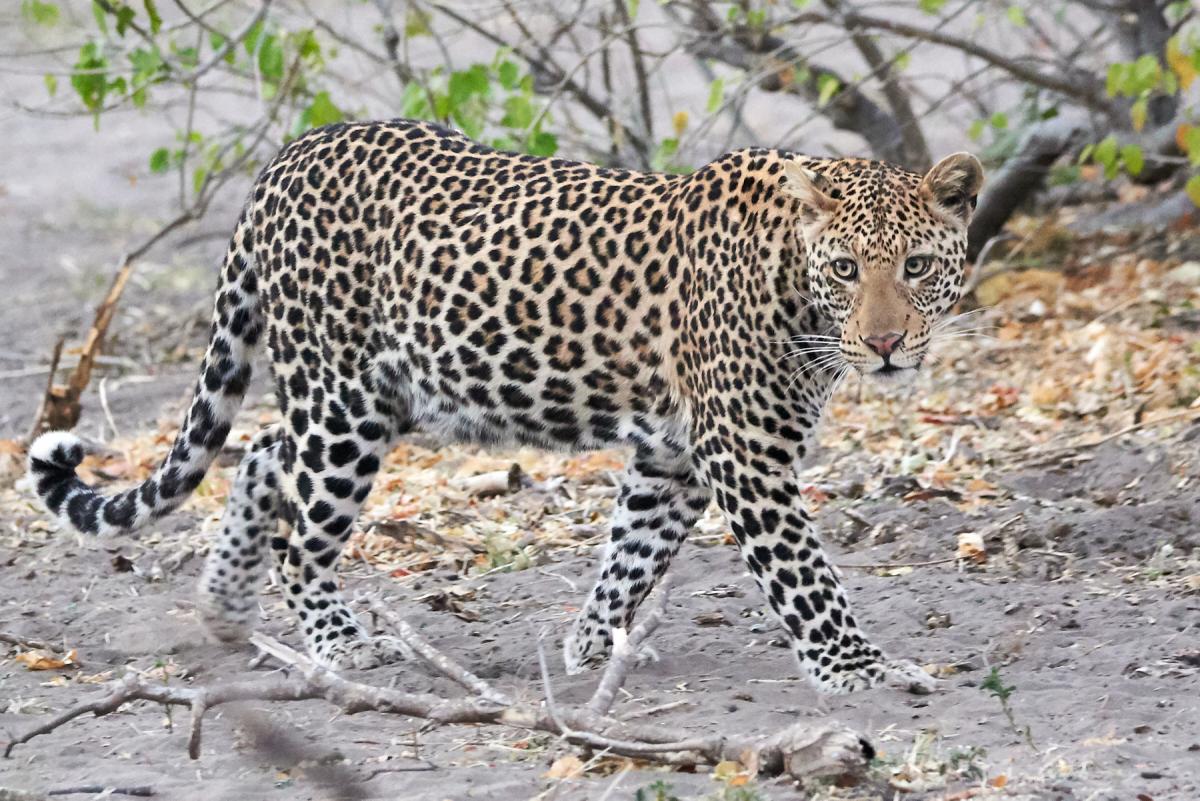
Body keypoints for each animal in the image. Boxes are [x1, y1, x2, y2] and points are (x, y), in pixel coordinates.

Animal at [27, 118, 982, 694]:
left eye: (917, 267)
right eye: (848, 269)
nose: (887, 344)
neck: (792, 280)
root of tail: (290, 154)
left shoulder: (673, 452)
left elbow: (632, 550)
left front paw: (590, 645)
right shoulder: (743, 451)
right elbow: (804, 574)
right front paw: (858, 669)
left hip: (368, 394)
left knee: (264, 452)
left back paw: (225, 606)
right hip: (347, 403)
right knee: (302, 536)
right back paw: (341, 644)